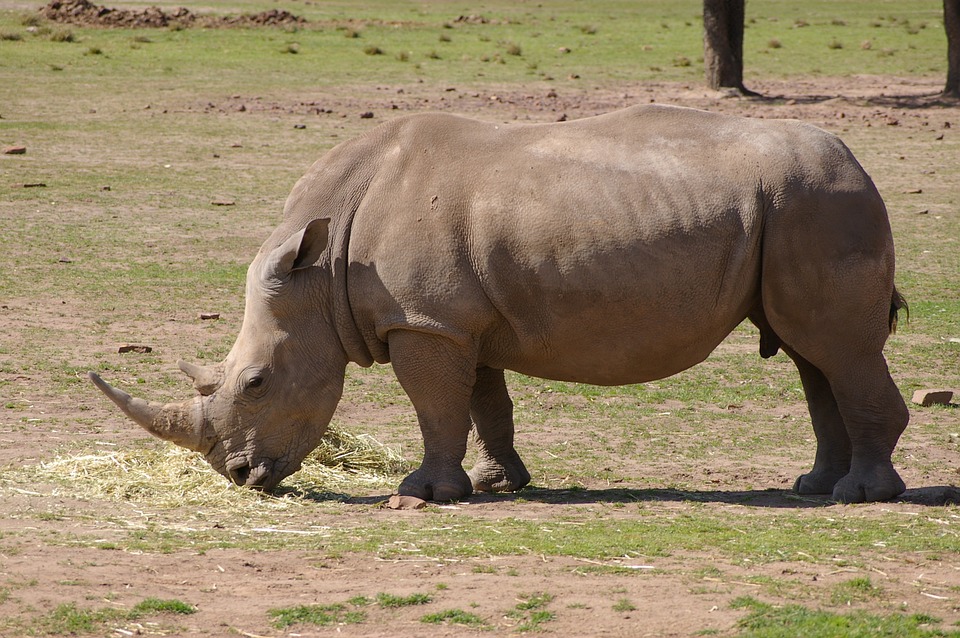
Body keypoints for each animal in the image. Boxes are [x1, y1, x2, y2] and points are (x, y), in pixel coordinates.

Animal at [90, 104, 910, 503]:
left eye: (256, 383)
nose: (239, 478)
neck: (318, 268)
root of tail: (860, 161)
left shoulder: (425, 321)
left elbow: (435, 407)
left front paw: (424, 493)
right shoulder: (455, 319)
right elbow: (484, 402)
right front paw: (494, 484)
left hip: (819, 202)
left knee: (835, 347)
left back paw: (860, 496)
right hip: (797, 205)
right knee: (811, 351)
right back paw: (814, 487)